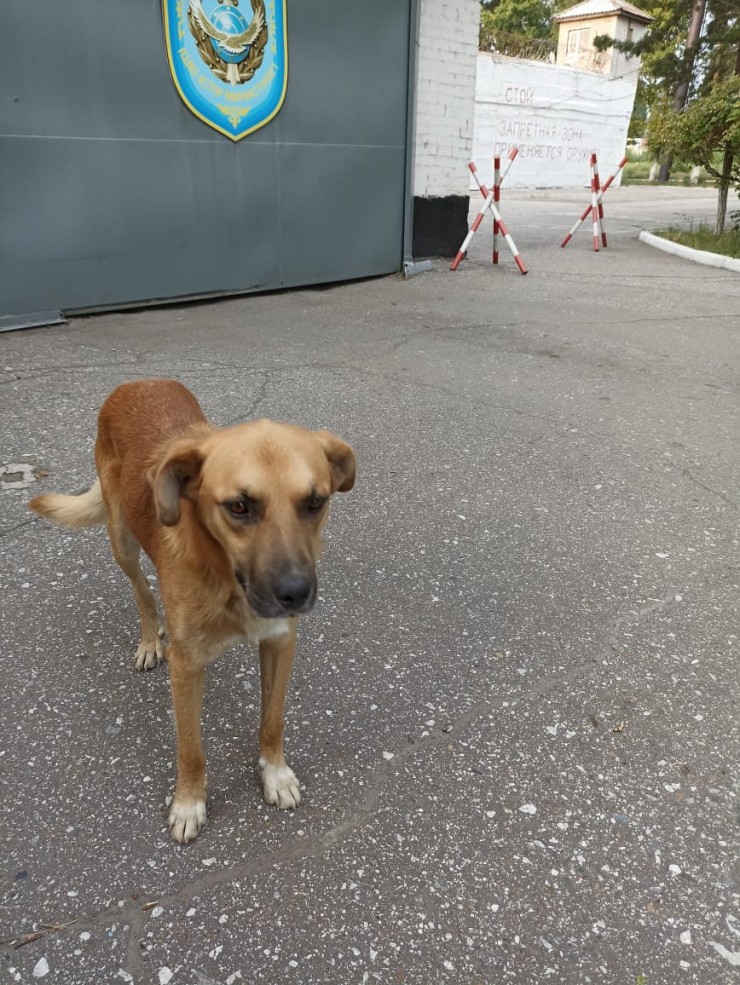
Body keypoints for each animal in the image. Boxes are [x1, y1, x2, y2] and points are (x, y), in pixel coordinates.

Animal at [29, 379, 355, 843]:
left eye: (315, 502)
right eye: (238, 506)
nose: (296, 593)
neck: (225, 578)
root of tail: (135, 383)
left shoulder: (280, 642)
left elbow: (272, 719)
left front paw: (274, 773)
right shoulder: (185, 666)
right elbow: (191, 748)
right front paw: (188, 803)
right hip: (121, 540)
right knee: (142, 592)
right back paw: (150, 639)